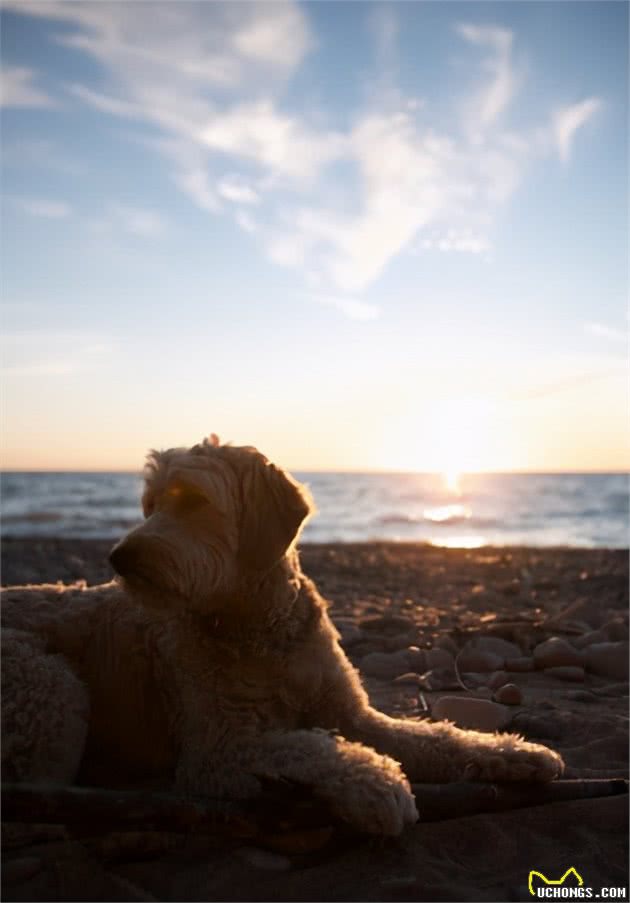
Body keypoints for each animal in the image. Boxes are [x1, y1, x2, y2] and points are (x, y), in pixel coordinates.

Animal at [0, 436, 564, 832]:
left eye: (194, 500)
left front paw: (512, 752)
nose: (119, 557)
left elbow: (436, 736)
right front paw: (374, 782)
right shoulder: (218, 751)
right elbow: (307, 745)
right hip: (49, 688)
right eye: (151, 505)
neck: (261, 630)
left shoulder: (354, 715)